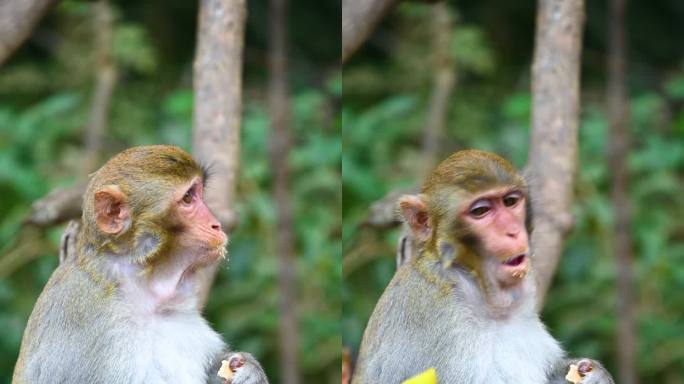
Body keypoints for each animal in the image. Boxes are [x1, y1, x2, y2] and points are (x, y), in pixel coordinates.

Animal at [13, 145, 268, 384]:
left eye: (198, 193)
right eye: (187, 198)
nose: (216, 225)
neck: (140, 288)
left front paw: (249, 370)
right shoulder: (94, 327)